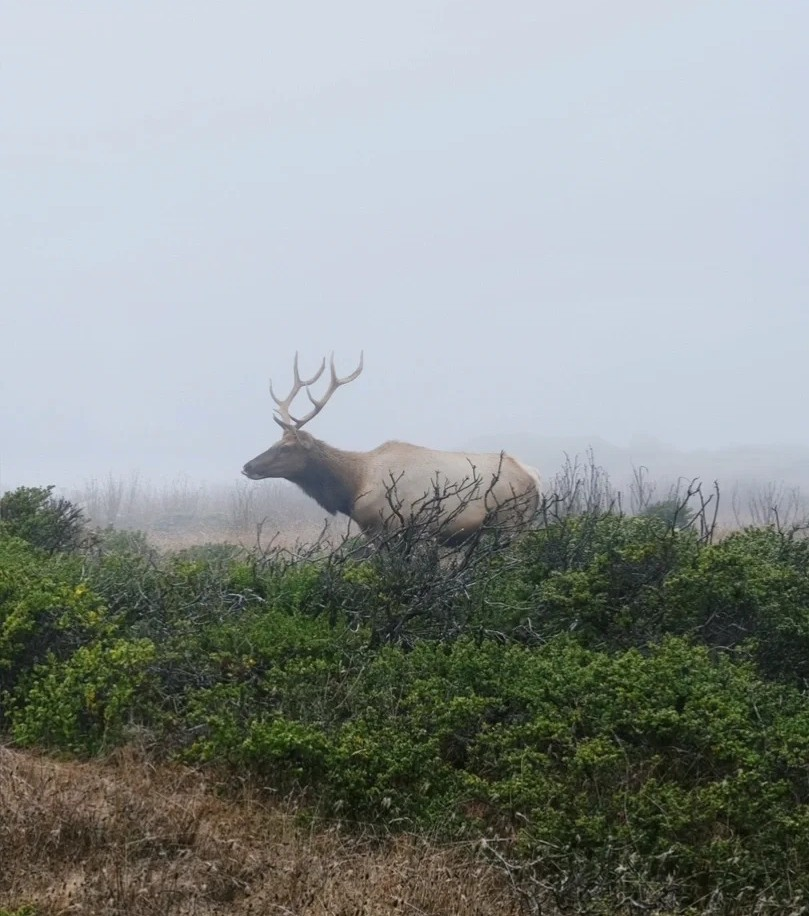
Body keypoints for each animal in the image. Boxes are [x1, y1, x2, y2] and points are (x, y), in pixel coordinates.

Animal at [241, 353, 541, 546]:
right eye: (274, 442)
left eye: (286, 448)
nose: (247, 466)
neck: (354, 487)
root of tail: (534, 477)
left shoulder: (394, 528)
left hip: (511, 521)